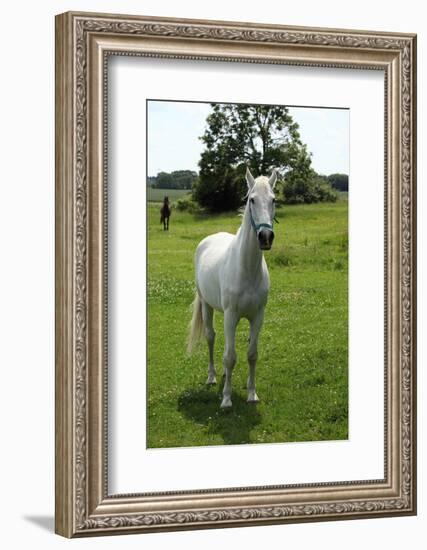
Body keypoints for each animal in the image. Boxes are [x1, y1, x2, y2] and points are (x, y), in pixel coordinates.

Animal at [188, 168, 278, 410]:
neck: (246, 268)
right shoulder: (230, 315)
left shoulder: (258, 316)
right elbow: (229, 357)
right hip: (207, 306)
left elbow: (251, 354)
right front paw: (227, 399)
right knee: (210, 337)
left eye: (273, 200)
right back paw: (211, 376)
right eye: (251, 200)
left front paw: (252, 393)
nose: (265, 237)